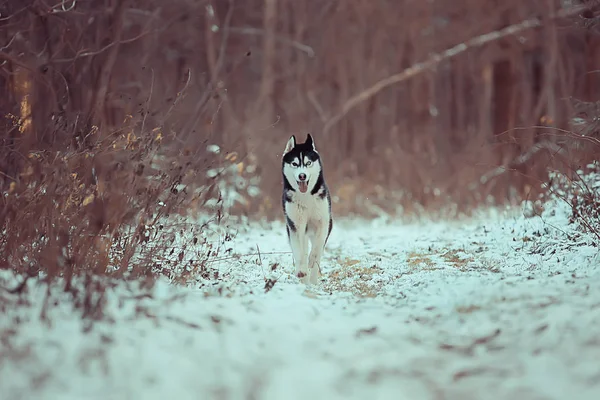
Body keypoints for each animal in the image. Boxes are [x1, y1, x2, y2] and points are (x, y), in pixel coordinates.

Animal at [282, 134, 332, 284]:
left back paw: (313, 280)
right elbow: (299, 251)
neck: (306, 197)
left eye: (308, 163)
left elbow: (317, 248)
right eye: (294, 164)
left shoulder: (323, 223)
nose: (302, 176)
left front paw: (311, 260)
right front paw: (302, 270)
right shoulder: (295, 225)